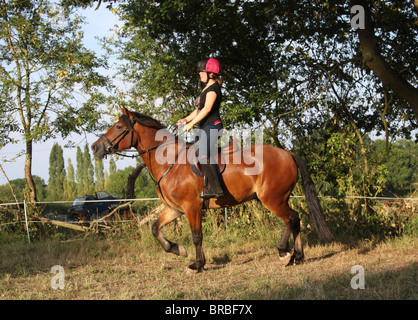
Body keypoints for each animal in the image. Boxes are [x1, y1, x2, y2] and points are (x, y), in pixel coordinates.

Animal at [92, 107, 334, 270]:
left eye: (119, 127)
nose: (95, 147)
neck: (170, 161)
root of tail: (287, 153)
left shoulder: (192, 207)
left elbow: (197, 236)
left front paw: (197, 264)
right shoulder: (175, 209)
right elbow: (155, 228)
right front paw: (178, 250)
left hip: (272, 198)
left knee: (291, 218)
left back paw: (286, 253)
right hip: (277, 198)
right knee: (294, 219)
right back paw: (296, 256)